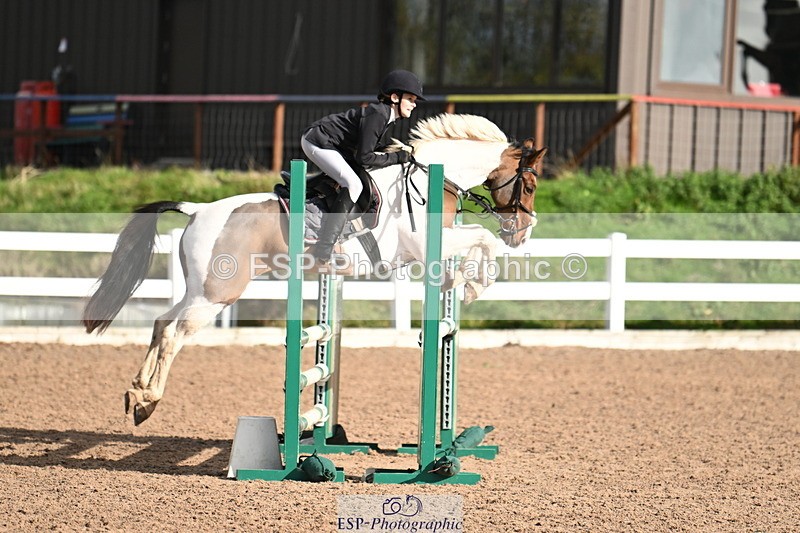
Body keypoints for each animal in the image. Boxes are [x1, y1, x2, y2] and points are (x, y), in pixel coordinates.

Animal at [82, 113, 546, 425]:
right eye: (528, 184)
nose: (522, 234)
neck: (431, 179)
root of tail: (197, 209)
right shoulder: (423, 245)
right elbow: (483, 240)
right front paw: (472, 285)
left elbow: (477, 242)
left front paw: (465, 282)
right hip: (218, 294)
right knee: (175, 335)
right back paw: (149, 402)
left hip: (198, 290)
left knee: (162, 322)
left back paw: (136, 394)